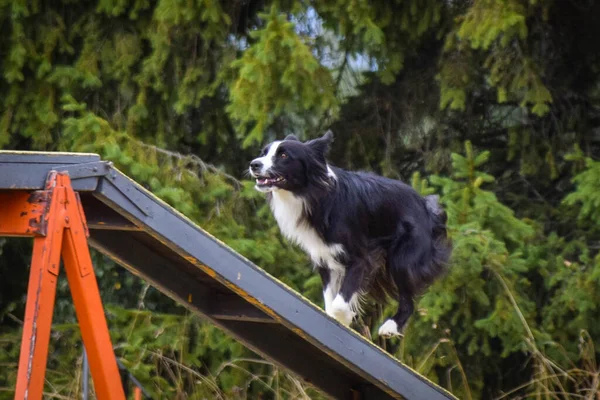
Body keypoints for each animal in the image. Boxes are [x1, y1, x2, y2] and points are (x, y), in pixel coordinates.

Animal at [248, 132, 450, 338]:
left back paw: (390, 327)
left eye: (283, 155)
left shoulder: (360, 257)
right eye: (263, 153)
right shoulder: (324, 256)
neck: (314, 195)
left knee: (408, 300)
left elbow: (339, 301)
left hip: (404, 256)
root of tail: (428, 208)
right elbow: (330, 299)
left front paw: (345, 318)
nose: (253, 164)